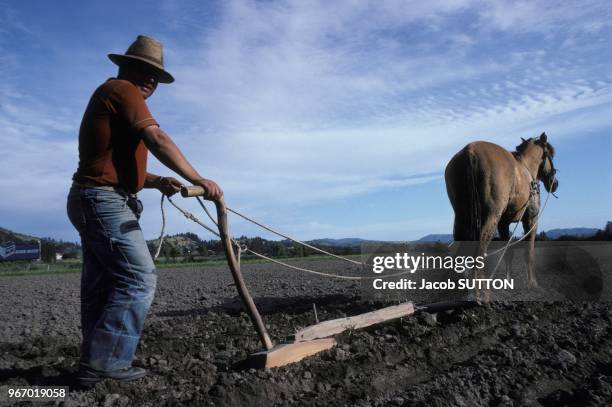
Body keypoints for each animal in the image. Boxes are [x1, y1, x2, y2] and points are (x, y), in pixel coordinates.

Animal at [444, 132, 560, 288]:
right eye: (550, 154)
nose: (555, 183)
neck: (527, 169)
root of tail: (470, 150)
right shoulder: (531, 219)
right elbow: (529, 252)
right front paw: (532, 283)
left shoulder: (504, 223)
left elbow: (508, 253)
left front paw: (508, 281)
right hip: (491, 216)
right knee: (480, 250)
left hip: (461, 216)